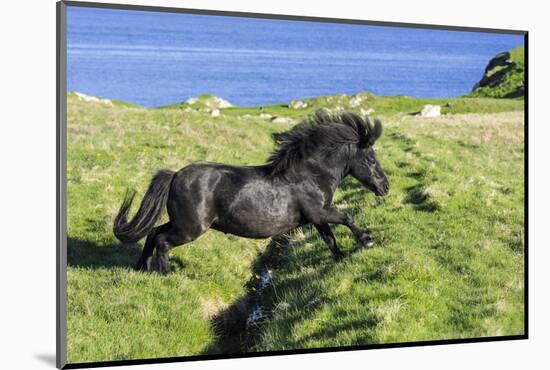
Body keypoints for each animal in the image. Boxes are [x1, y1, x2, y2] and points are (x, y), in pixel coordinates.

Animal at [114, 111, 390, 274]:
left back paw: (140, 267)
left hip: (181, 222)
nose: (385, 187)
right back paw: (167, 274)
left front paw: (340, 258)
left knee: (152, 233)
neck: (310, 175)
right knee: (162, 240)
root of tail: (175, 176)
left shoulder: (316, 218)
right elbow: (347, 218)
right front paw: (367, 240)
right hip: (190, 228)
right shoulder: (320, 212)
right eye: (371, 159)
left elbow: (330, 239)